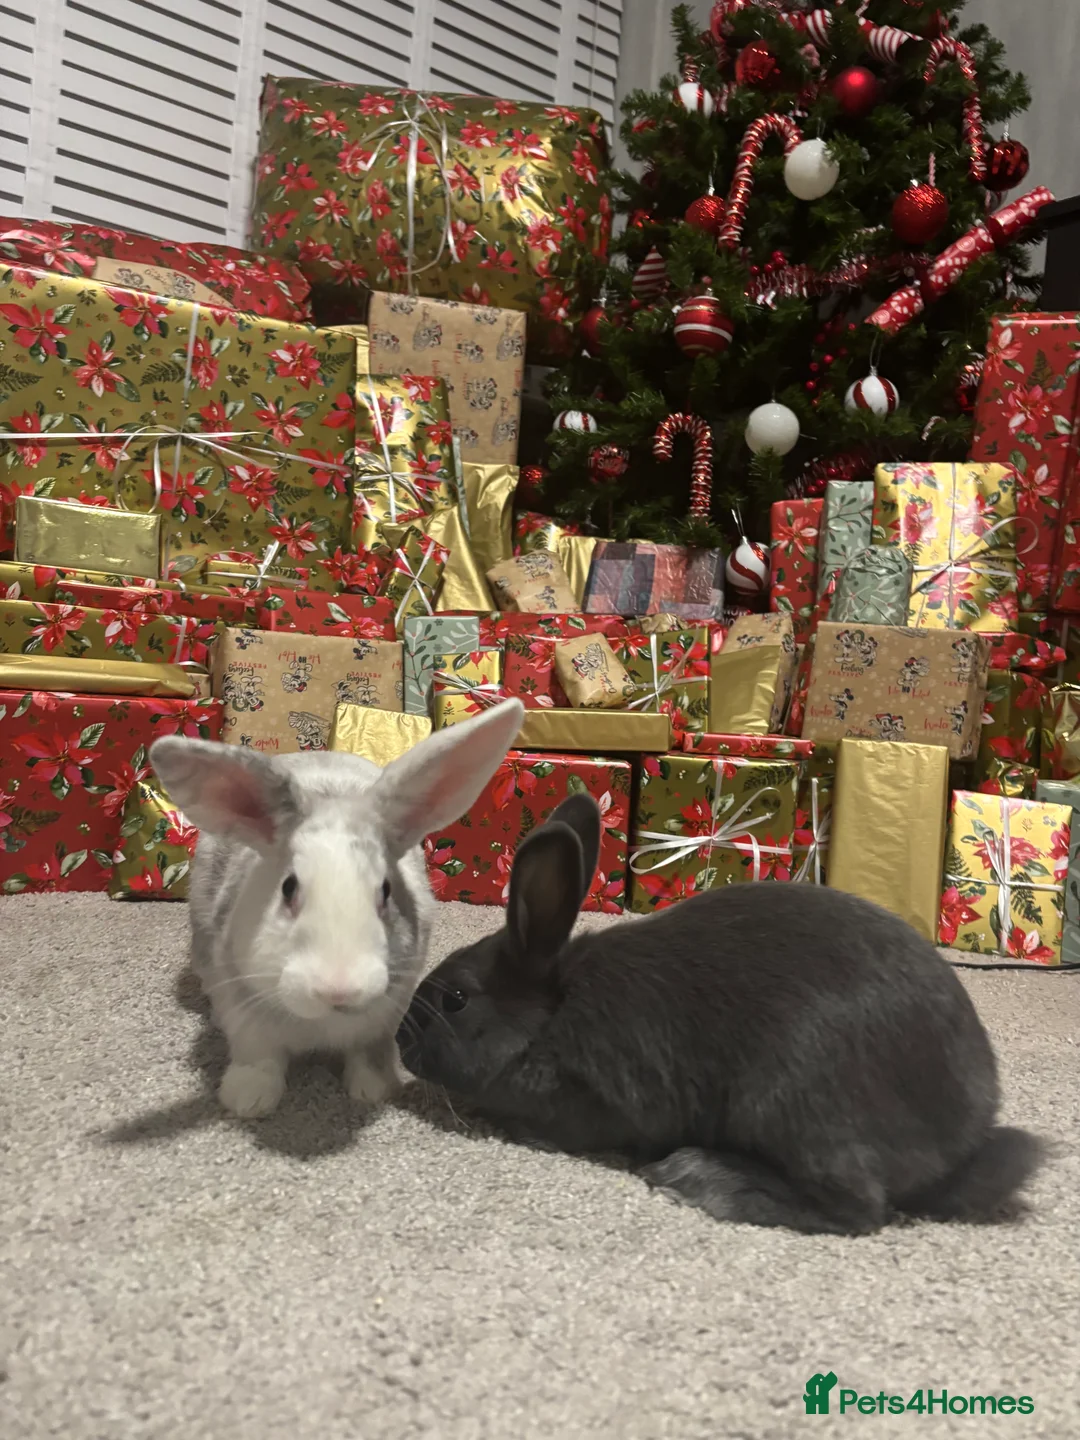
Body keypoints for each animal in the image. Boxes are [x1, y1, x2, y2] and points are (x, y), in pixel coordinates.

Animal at [149, 698, 524, 1118]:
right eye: (289, 888)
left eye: (385, 891)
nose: (339, 990)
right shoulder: (243, 1010)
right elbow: (258, 1057)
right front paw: (249, 1102)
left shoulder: (386, 1013)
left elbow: (368, 1054)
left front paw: (373, 1091)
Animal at [398, 793, 1045, 1235]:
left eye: (454, 1000)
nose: (401, 1041)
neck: (549, 1018)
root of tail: (961, 1143)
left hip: (789, 1096)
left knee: (858, 1208)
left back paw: (699, 1180)